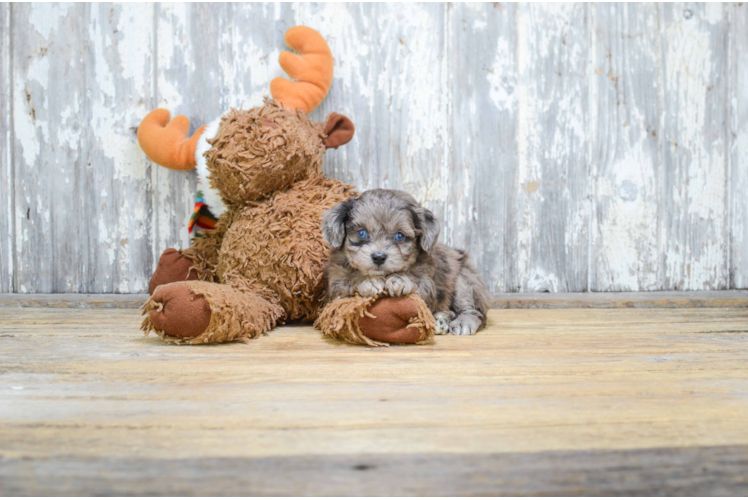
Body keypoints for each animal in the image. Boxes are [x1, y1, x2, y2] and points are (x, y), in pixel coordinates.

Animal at [322, 188, 490, 336]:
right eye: (361, 233)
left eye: (399, 236)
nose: (378, 257)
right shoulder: (335, 285)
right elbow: (349, 281)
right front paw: (368, 280)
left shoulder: (428, 283)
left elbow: (417, 281)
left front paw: (400, 280)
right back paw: (440, 321)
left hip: (465, 280)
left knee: (474, 310)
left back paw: (462, 322)